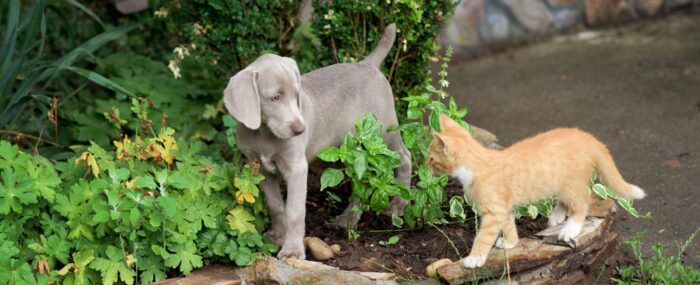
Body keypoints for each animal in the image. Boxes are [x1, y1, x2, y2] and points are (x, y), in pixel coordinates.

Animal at [224, 23, 410, 260]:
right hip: (351, 150)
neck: (265, 134)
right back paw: (348, 218)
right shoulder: (259, 168)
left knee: (405, 157)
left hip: (383, 133)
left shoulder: (297, 167)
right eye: (274, 98)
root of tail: (366, 64)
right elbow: (276, 205)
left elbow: (294, 211)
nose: (300, 129)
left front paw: (293, 251)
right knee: (360, 182)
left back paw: (398, 205)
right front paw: (278, 236)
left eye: (296, 95)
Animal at [426, 115, 644, 266]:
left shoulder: (494, 211)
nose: (426, 167)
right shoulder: (503, 208)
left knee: (582, 202)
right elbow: (508, 224)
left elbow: (484, 236)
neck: (477, 164)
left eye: (431, 158)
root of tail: (589, 138)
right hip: (563, 184)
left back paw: (570, 228)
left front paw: (474, 259)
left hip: (571, 183)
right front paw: (511, 243)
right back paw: (557, 216)